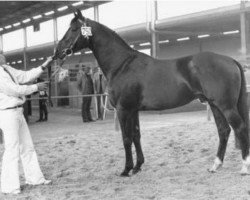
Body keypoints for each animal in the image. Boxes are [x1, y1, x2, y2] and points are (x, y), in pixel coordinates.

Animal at [53, 10, 250, 176]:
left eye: (74, 29)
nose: (57, 52)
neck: (122, 64)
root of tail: (231, 59)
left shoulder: (123, 109)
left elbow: (126, 138)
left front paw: (126, 170)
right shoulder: (133, 110)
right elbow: (136, 136)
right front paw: (138, 167)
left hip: (226, 106)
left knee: (240, 128)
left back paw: (244, 167)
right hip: (214, 104)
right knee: (224, 131)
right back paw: (215, 166)